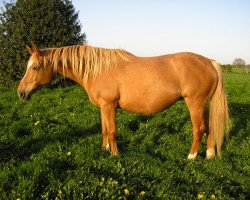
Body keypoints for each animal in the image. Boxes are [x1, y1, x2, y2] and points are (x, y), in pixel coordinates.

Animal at [17, 45, 230, 159]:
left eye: (35, 67)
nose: (20, 93)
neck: (97, 69)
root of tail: (209, 62)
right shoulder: (103, 107)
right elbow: (104, 129)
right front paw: (105, 149)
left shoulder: (109, 105)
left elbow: (112, 131)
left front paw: (115, 155)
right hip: (203, 106)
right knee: (209, 128)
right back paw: (209, 154)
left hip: (194, 105)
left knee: (199, 129)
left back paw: (191, 157)